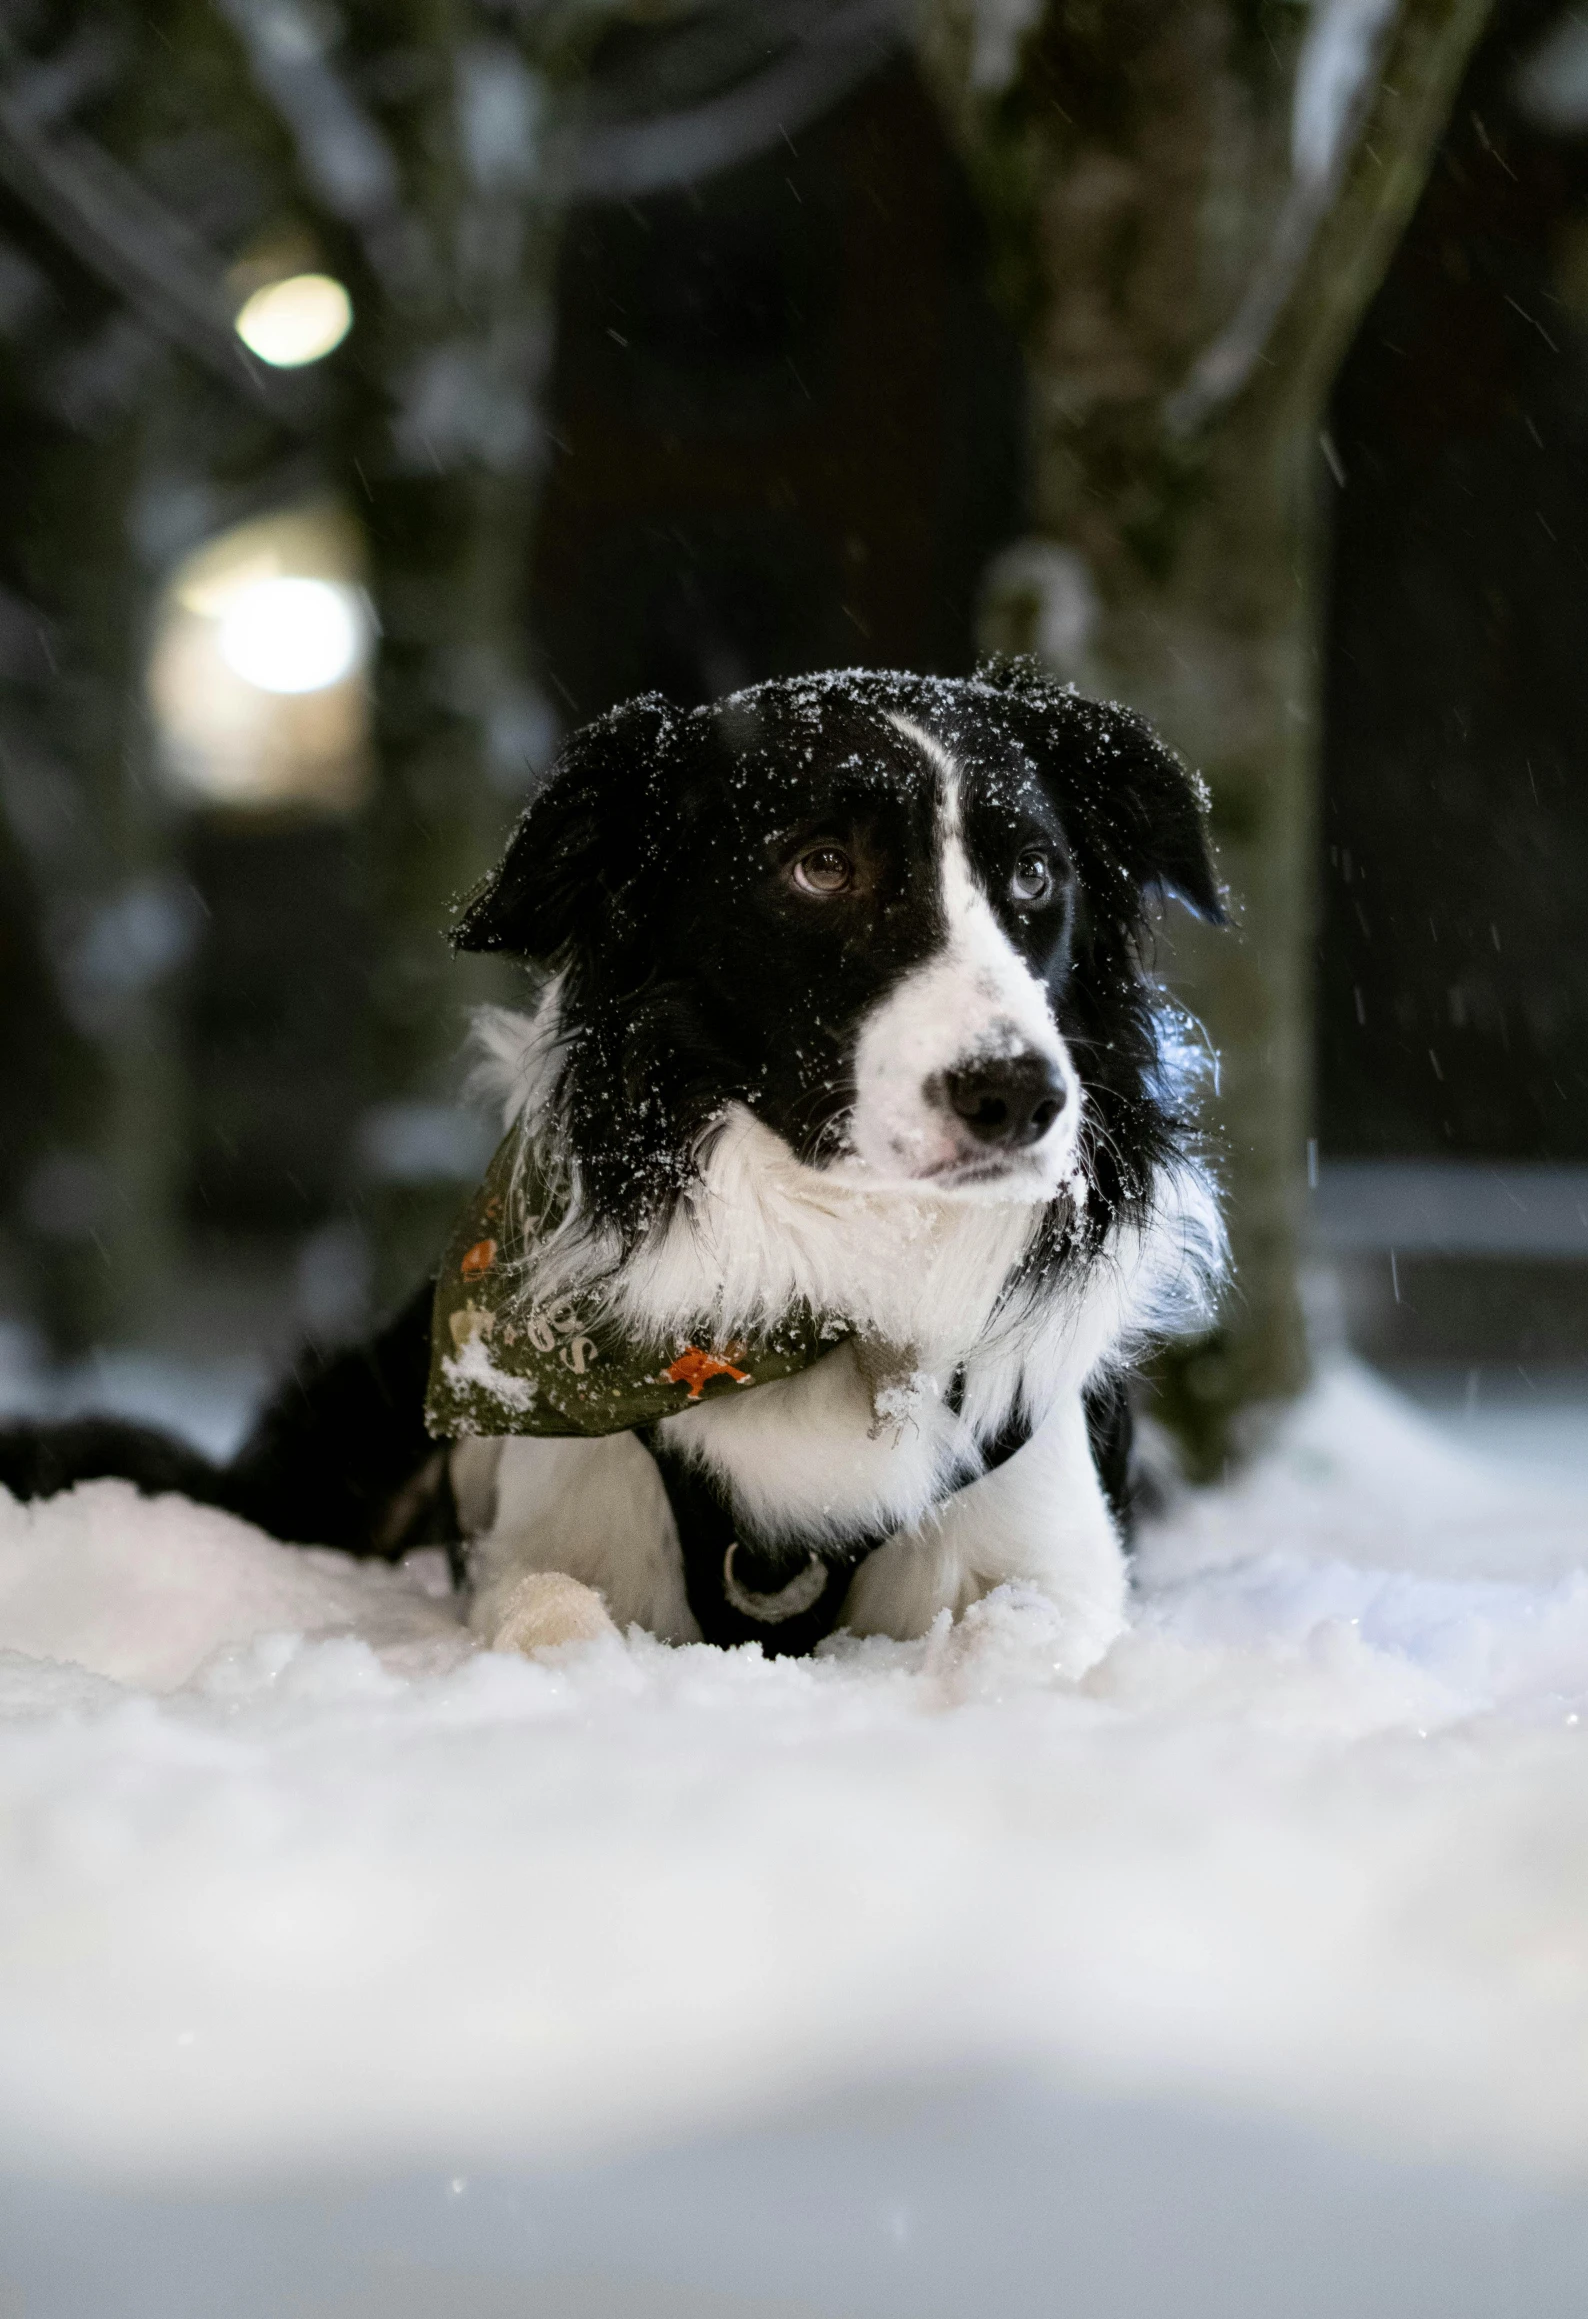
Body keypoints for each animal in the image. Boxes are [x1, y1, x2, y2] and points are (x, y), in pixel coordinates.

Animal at [0, 663, 1224, 1678]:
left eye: (1034, 875)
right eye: (821, 865)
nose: (1018, 1096)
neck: (834, 1270)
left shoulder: (1049, 1552)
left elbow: (1016, 1645)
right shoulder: (553, 1521)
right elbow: (553, 1613)